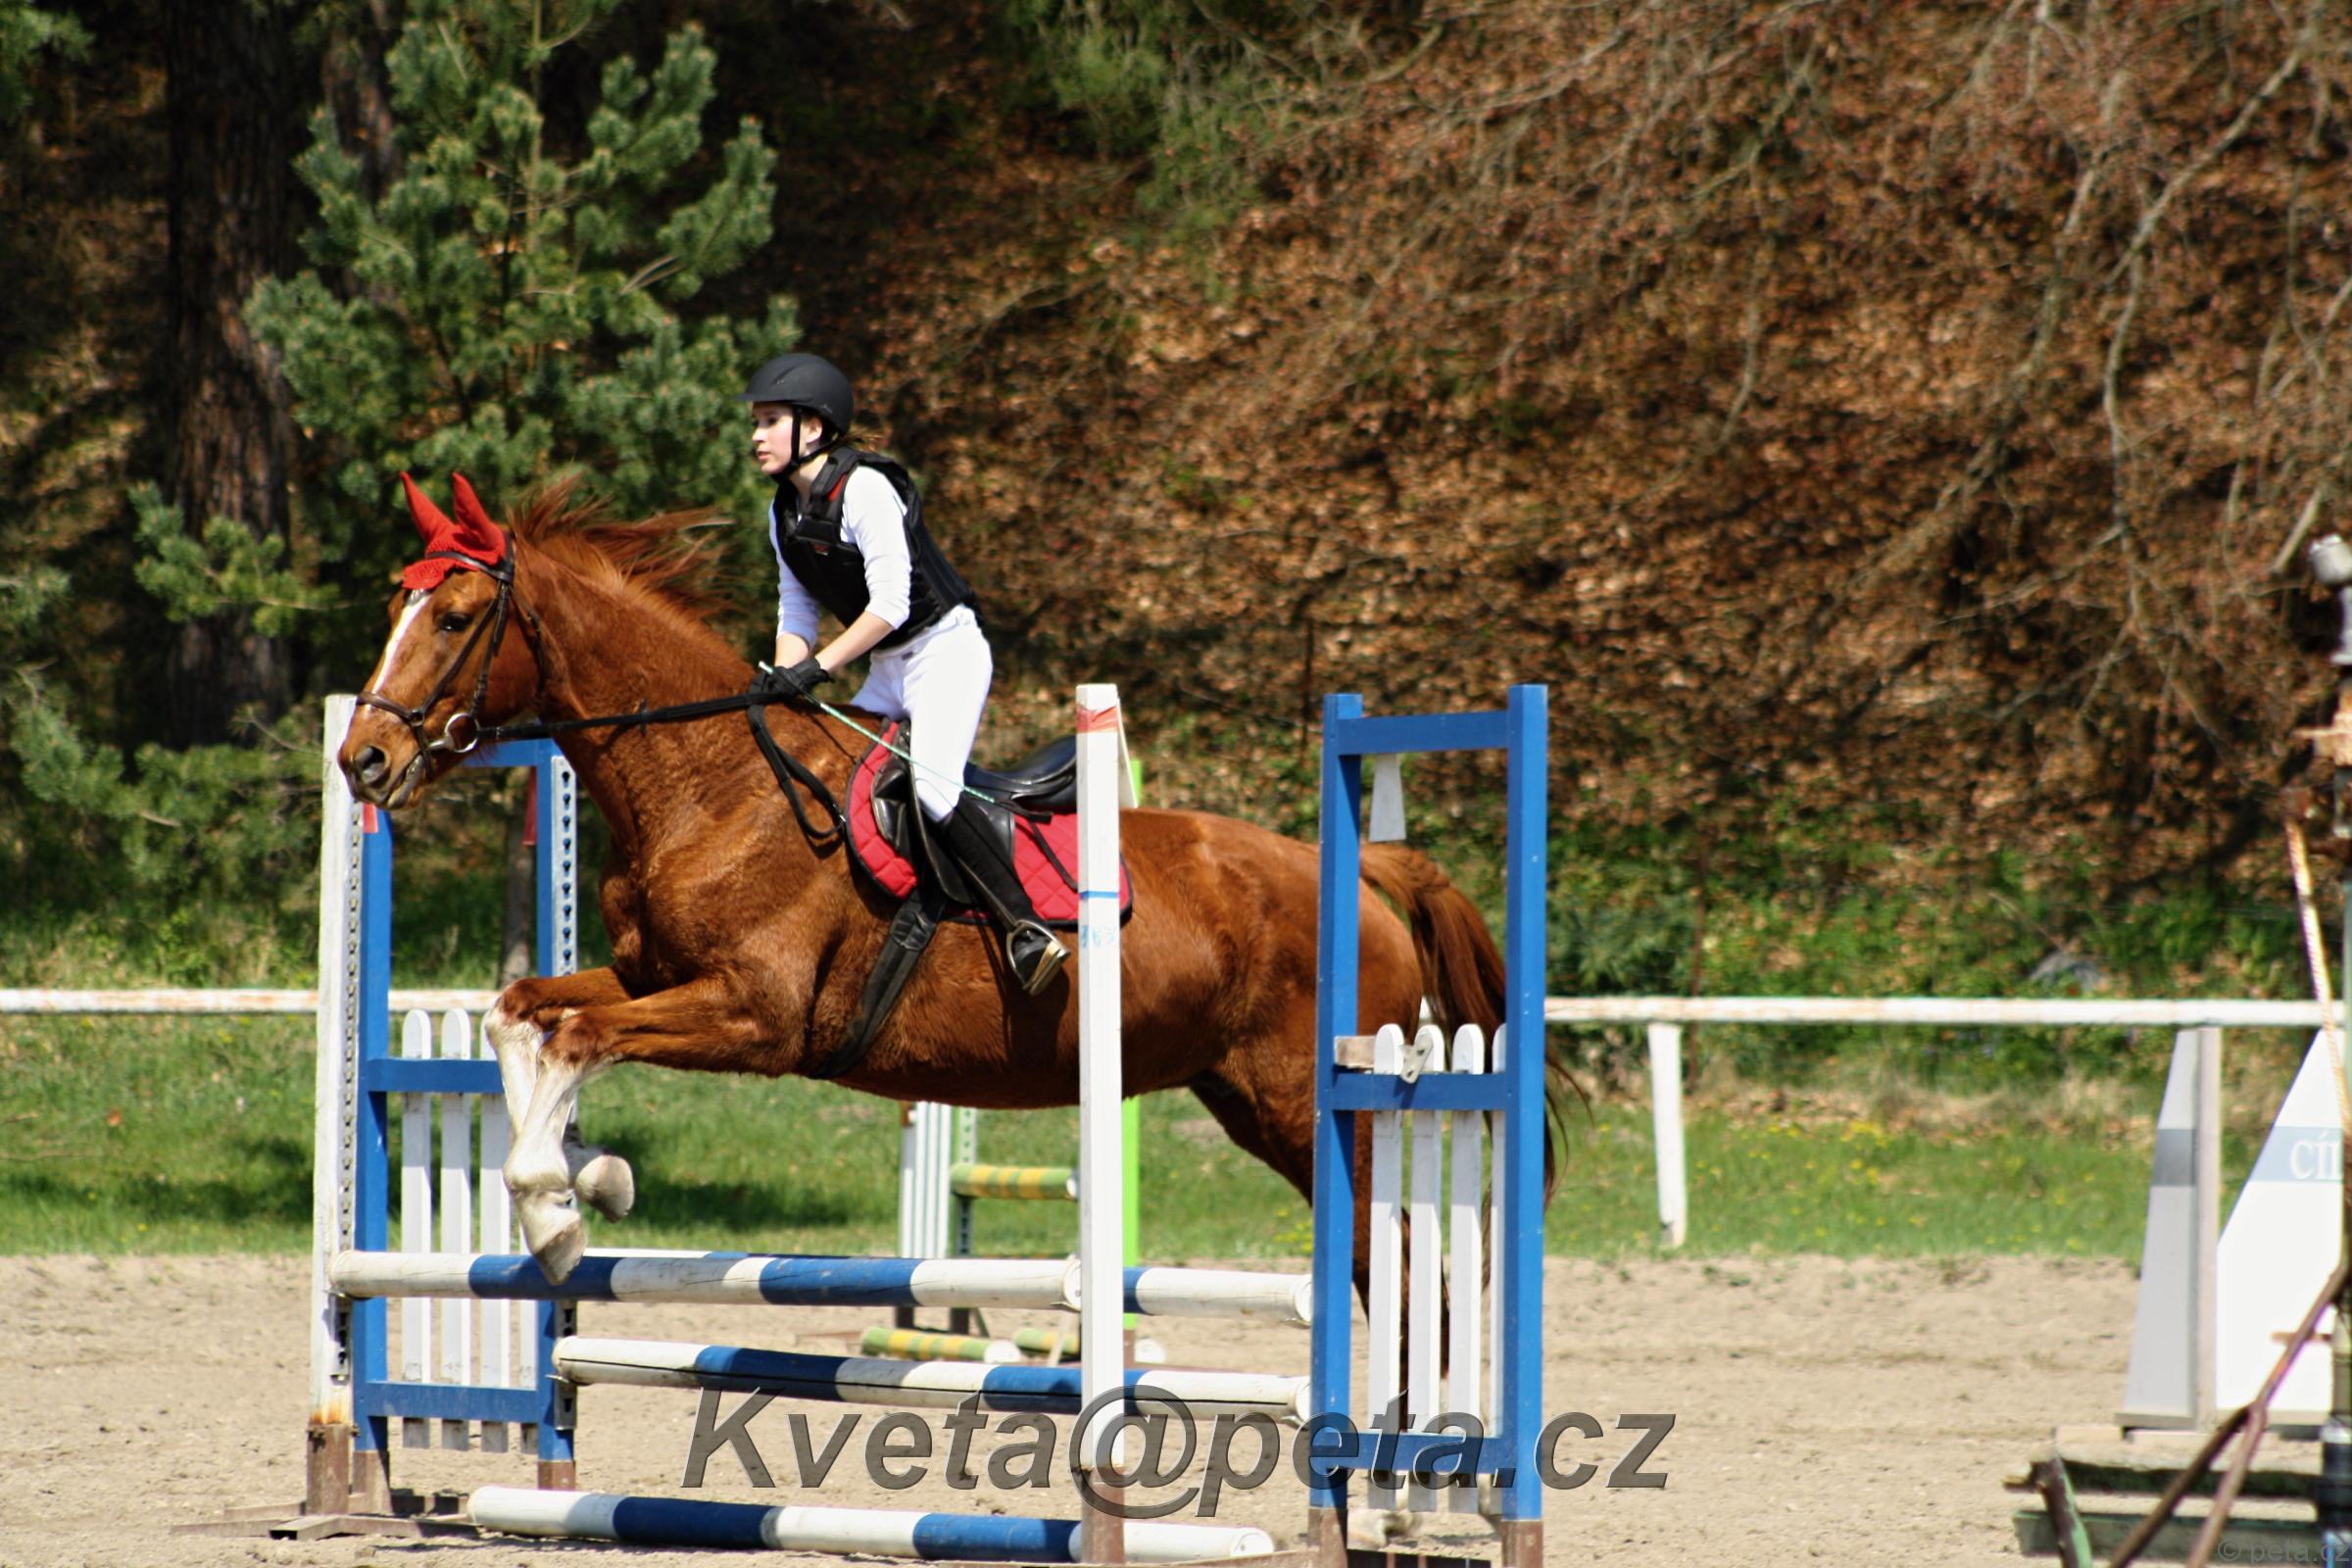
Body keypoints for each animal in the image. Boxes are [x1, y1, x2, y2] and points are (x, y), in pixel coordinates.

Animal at [339, 475, 1569, 1294]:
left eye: (457, 618)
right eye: (396, 613)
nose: (363, 761)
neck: (710, 781)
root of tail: (1358, 870)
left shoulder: (757, 1016)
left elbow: (583, 1040)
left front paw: (556, 1208)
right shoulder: (651, 979)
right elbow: (527, 1017)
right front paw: (591, 1181)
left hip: (1314, 1106)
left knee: (1401, 1257)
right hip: (1253, 1100)